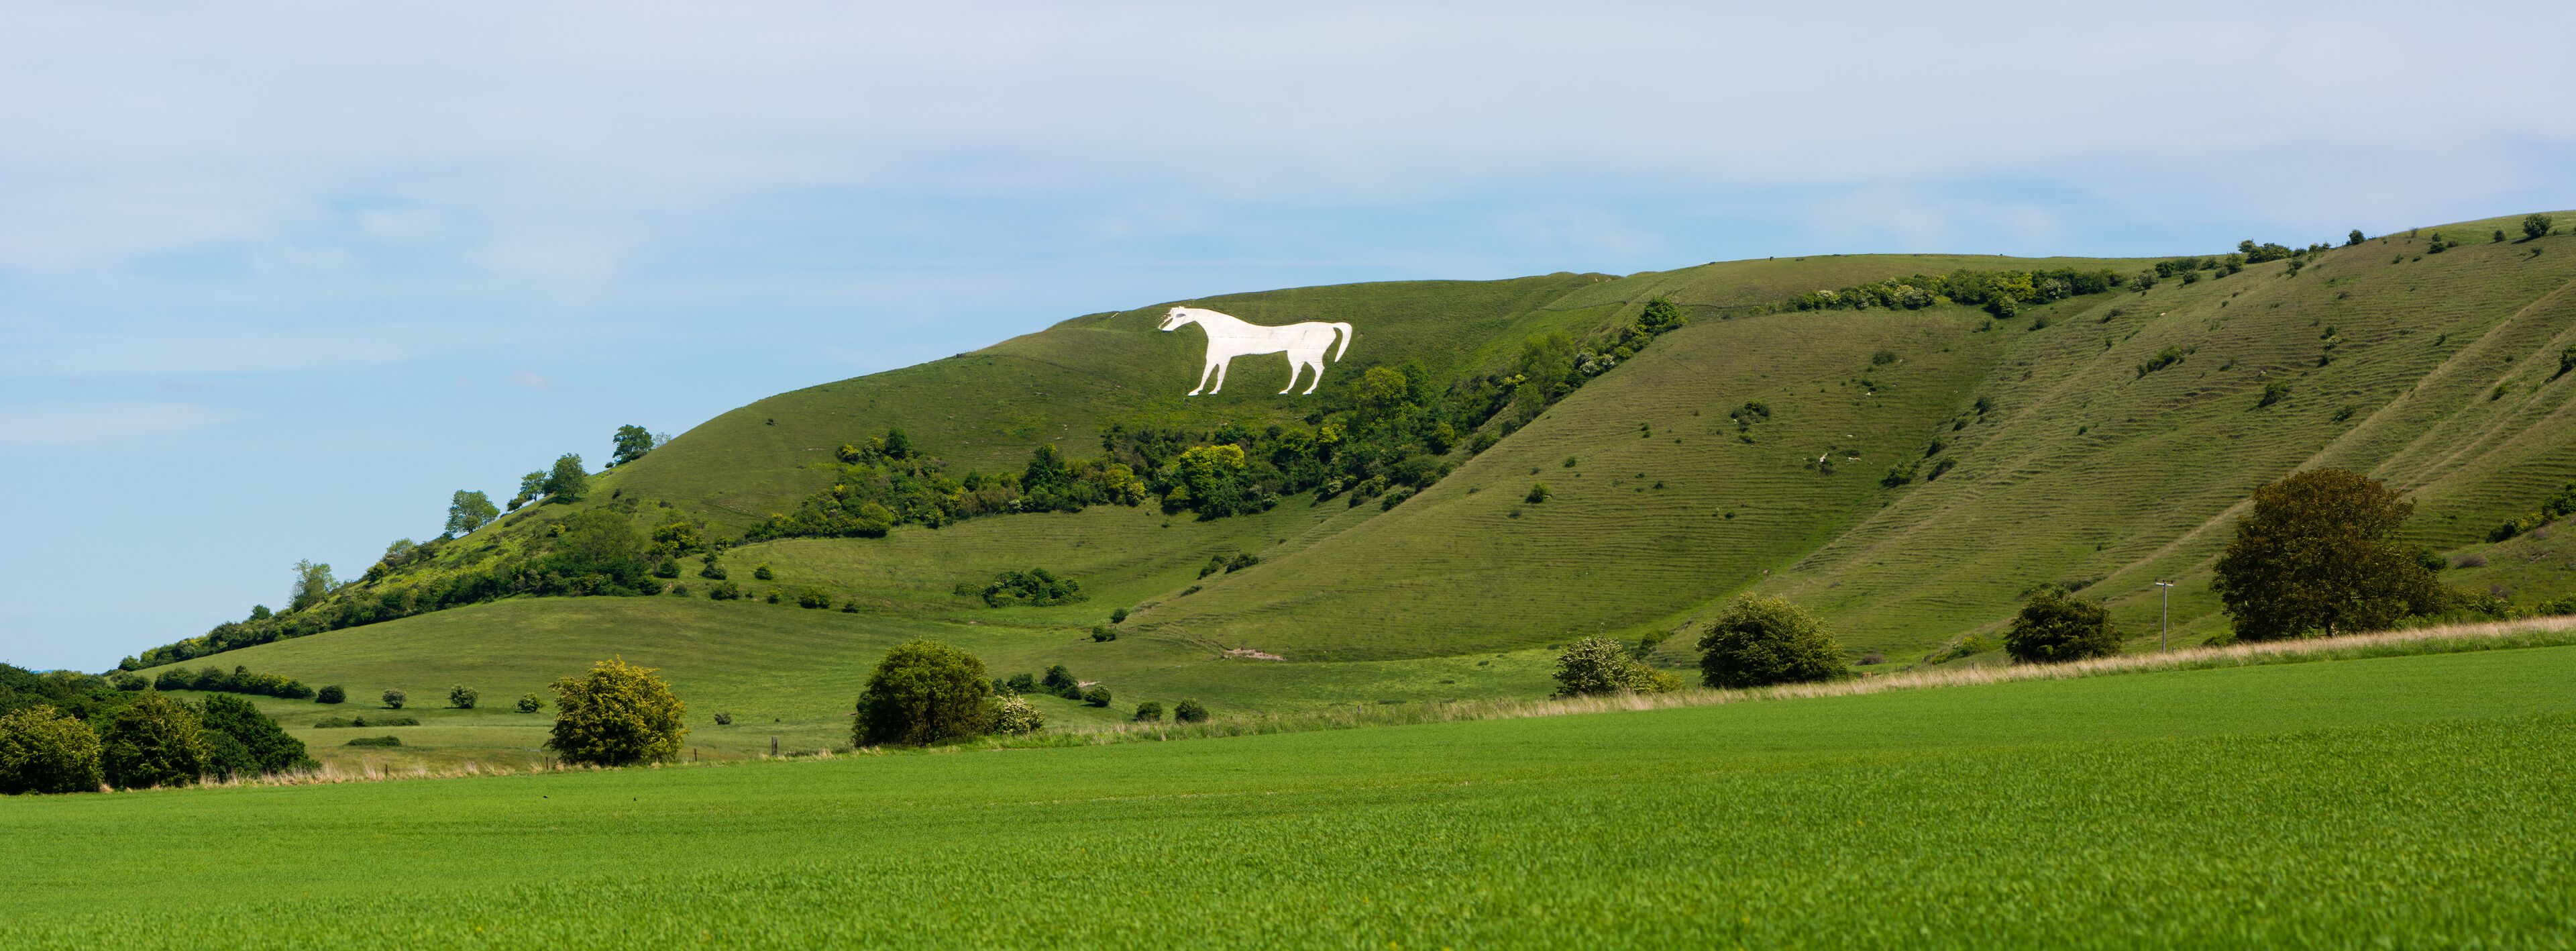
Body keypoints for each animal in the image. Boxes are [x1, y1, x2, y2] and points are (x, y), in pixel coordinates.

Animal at [1158, 306, 1353, 395]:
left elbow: (1216, 374)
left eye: (1178, 316)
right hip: (1300, 356)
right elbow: (1211, 373)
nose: (1164, 329)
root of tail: (1331, 326)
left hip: (1308, 355)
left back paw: (1306, 391)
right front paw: (1201, 391)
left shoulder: (1222, 357)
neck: (1219, 328)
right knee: (1302, 370)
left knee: (1317, 369)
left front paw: (1209, 391)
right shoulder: (1218, 357)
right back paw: (1289, 390)